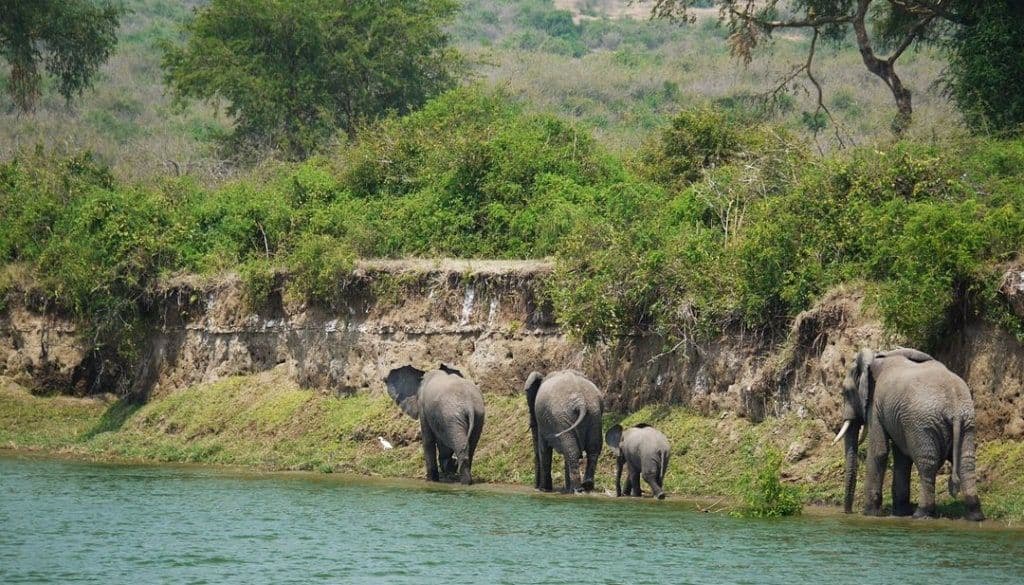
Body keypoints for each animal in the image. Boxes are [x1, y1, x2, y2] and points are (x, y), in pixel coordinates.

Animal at [835, 348, 987, 522]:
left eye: (845, 393)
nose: (848, 512)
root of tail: (954, 406)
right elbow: (902, 458)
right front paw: (900, 512)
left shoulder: (875, 405)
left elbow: (879, 452)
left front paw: (870, 513)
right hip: (966, 422)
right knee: (965, 463)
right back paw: (975, 515)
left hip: (923, 423)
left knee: (927, 465)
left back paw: (921, 513)